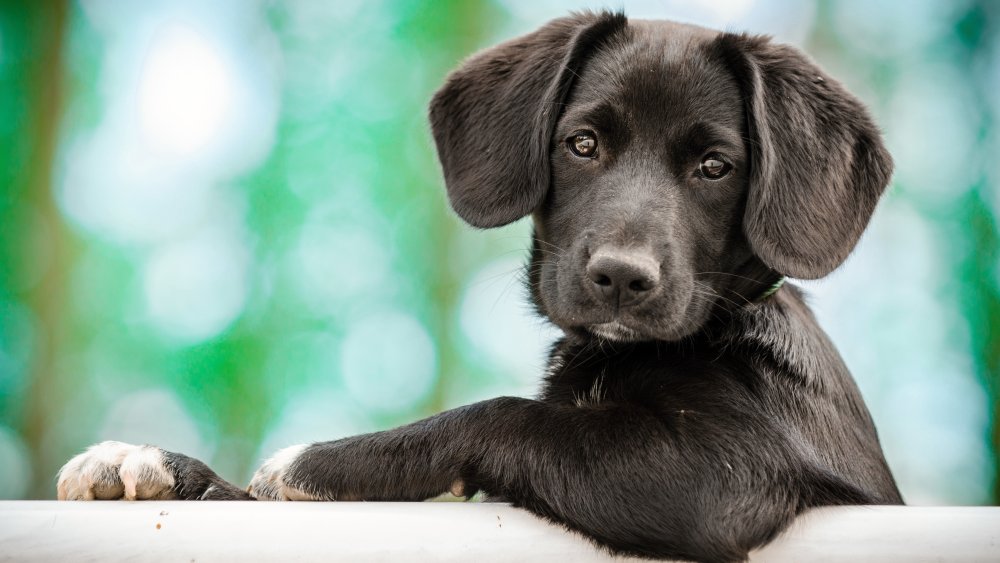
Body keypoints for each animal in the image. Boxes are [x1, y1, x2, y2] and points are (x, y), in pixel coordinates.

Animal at [58, 13, 904, 563]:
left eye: (715, 167)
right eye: (582, 144)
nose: (621, 277)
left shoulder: (731, 468)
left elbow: (503, 414)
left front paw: (312, 460)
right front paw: (162, 468)